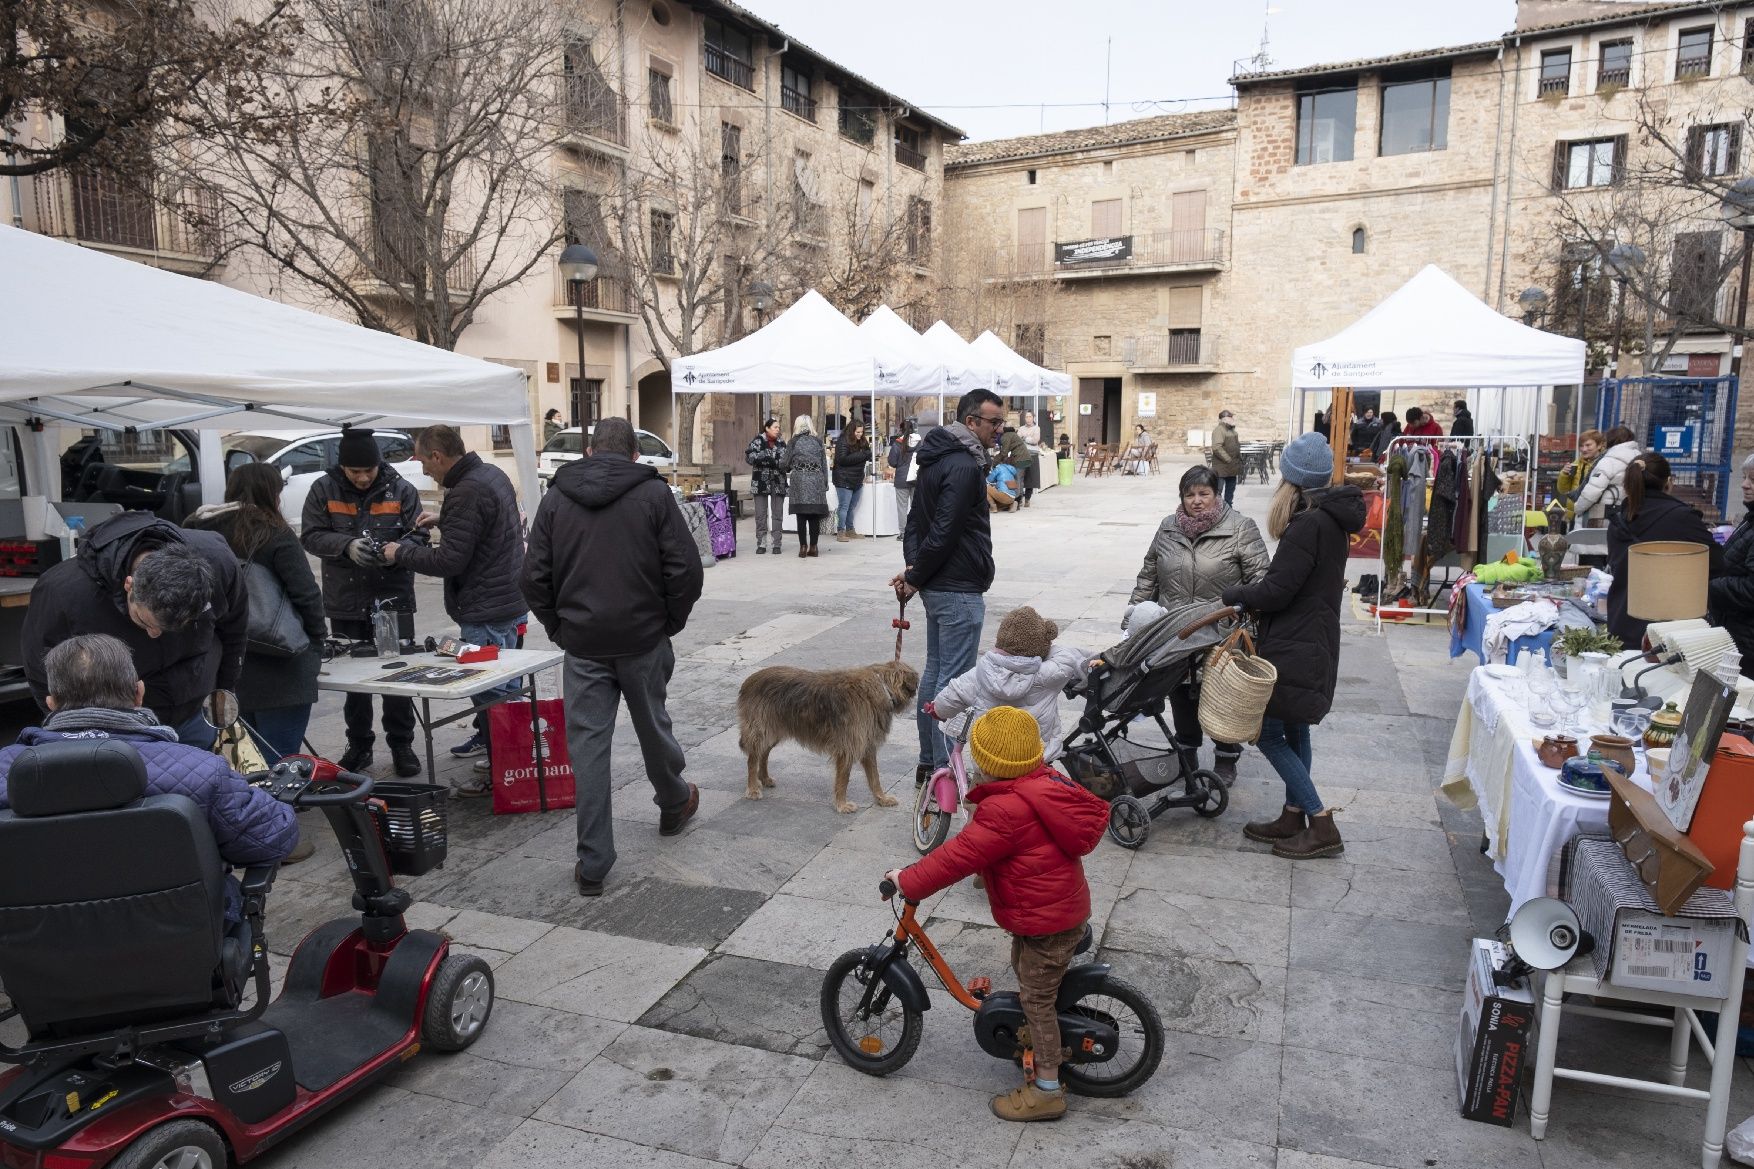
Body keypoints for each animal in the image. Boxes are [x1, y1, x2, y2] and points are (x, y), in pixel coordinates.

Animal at [733, 656, 919, 810]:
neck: (882, 687)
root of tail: (749, 681)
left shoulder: (867, 746)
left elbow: (875, 778)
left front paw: (882, 799)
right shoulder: (848, 747)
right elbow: (843, 779)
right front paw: (842, 805)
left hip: (774, 731)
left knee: (763, 754)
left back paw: (764, 778)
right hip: (761, 730)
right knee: (752, 759)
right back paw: (753, 788)